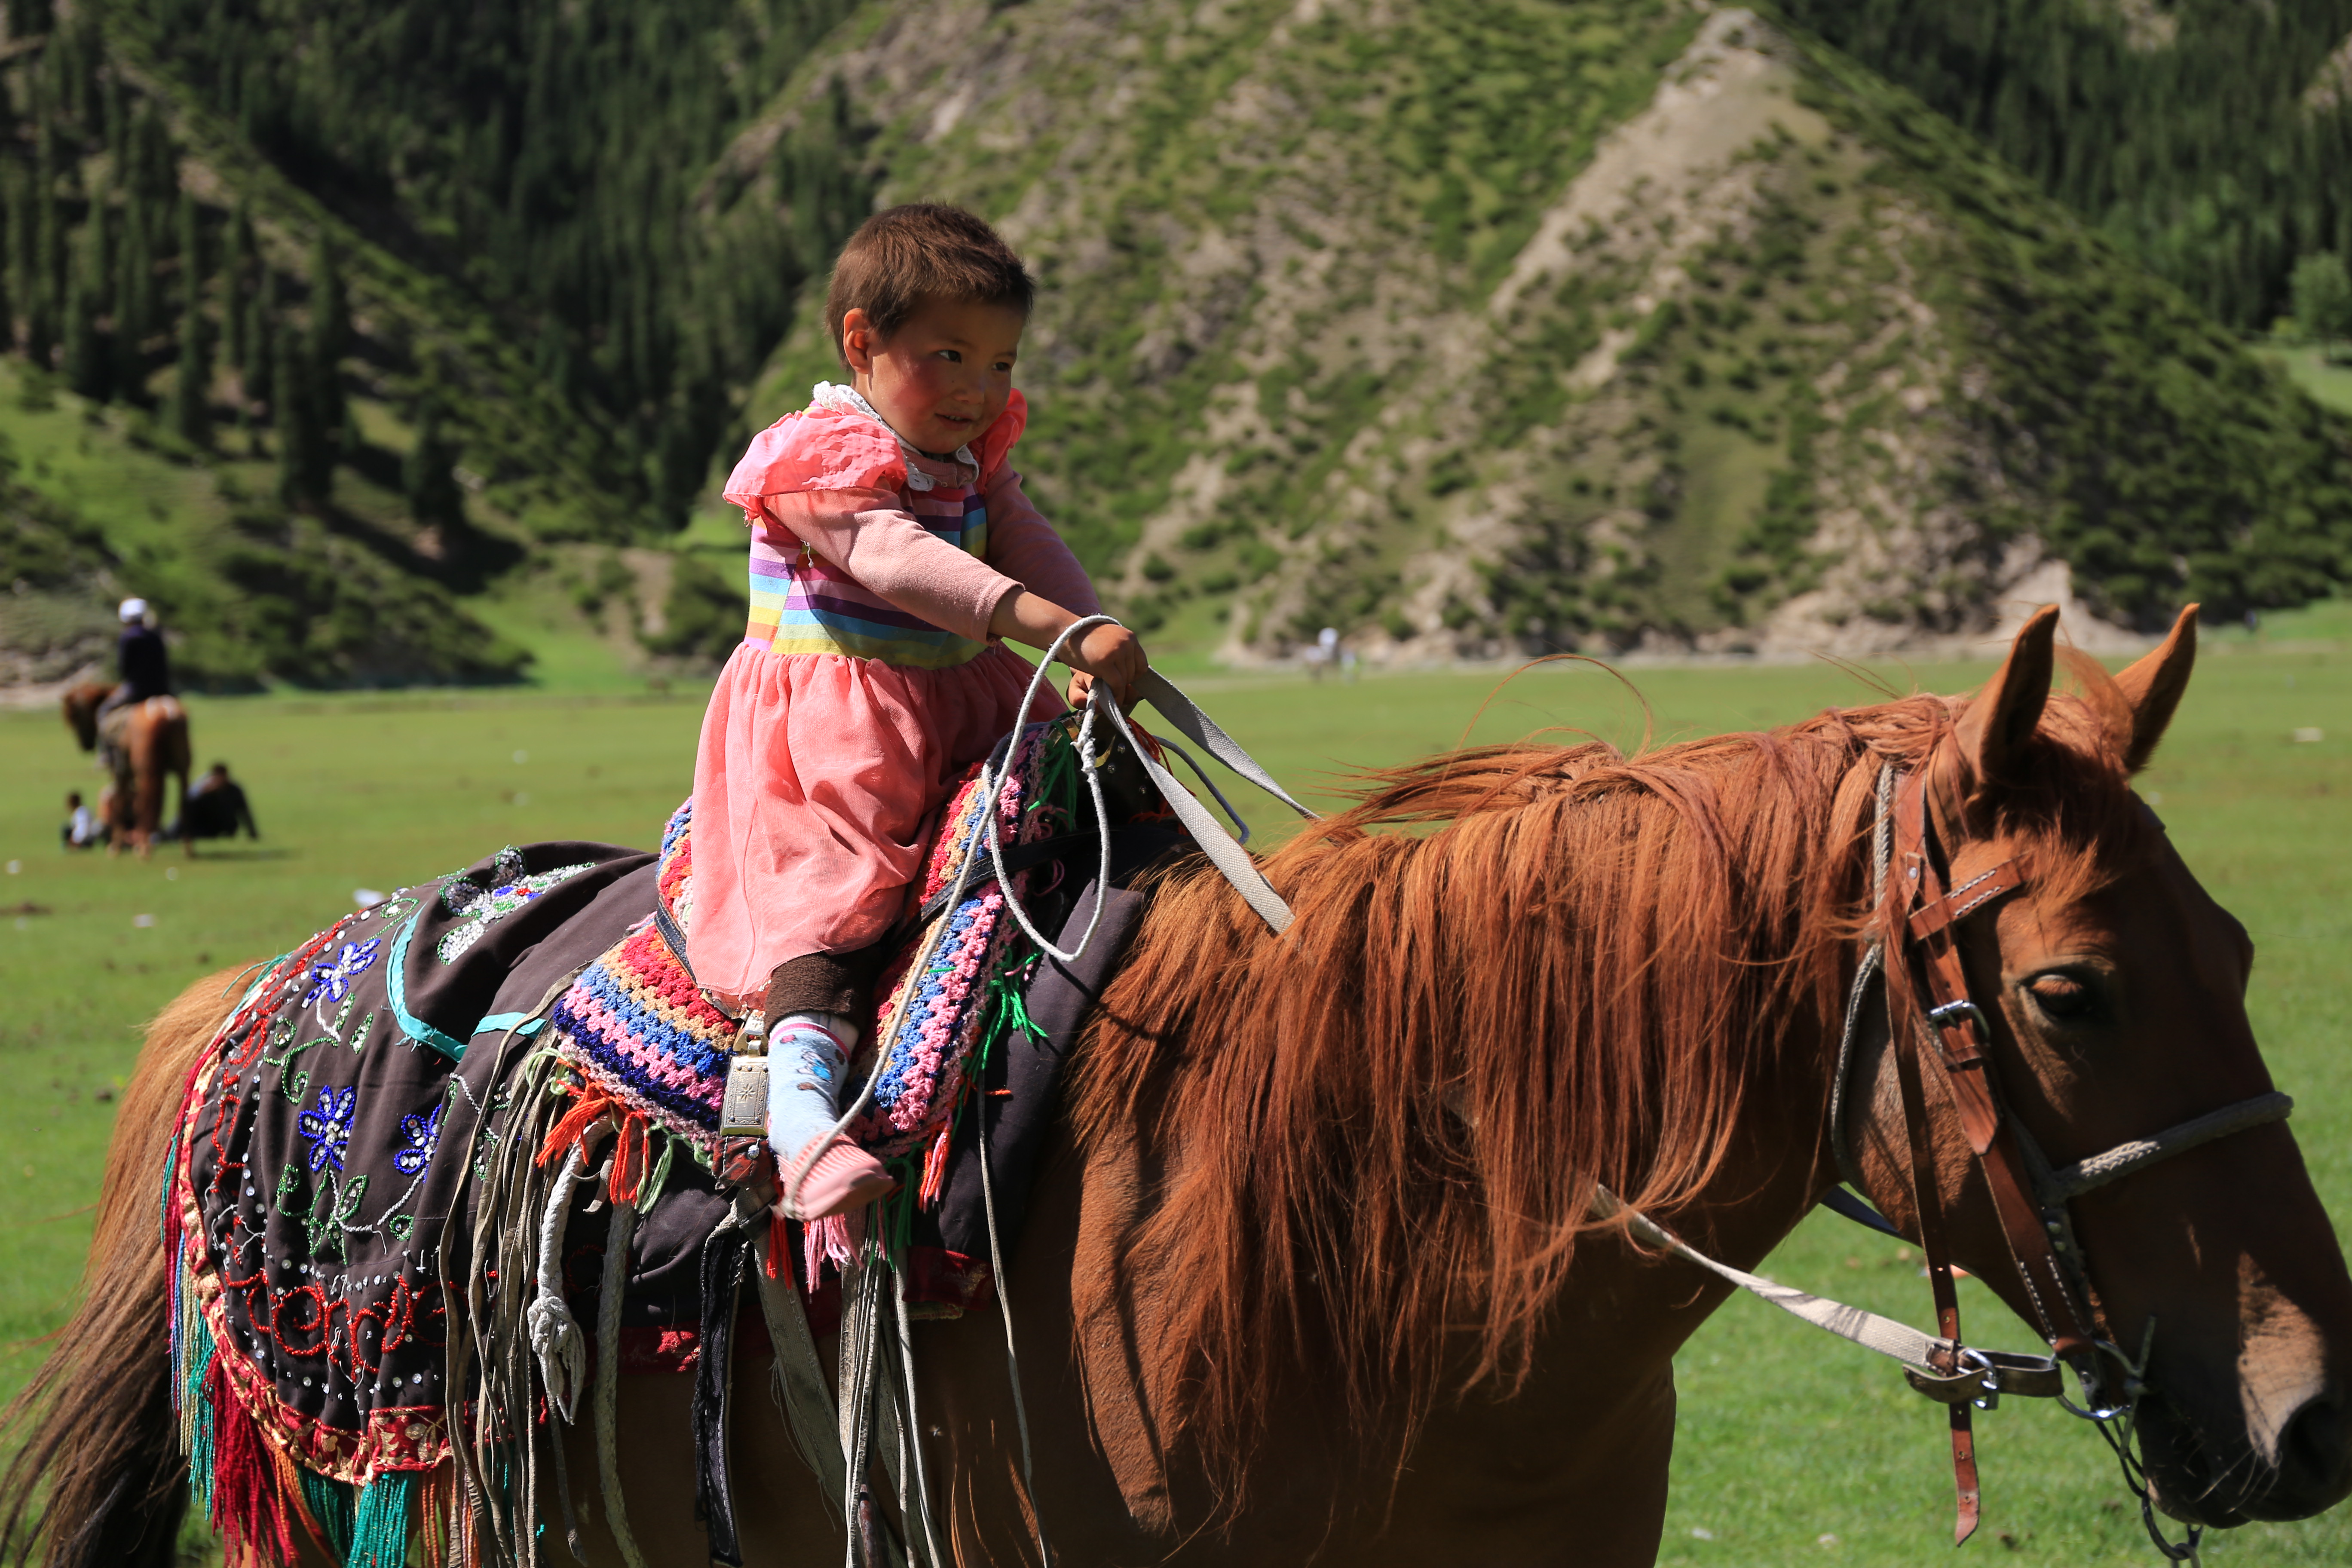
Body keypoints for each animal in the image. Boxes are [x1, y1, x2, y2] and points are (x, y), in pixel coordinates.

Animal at [60, 682, 191, 865]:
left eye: (75, 716)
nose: (85, 745)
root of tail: (164, 711)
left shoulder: (119, 772)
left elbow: (120, 802)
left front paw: (116, 846)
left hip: (147, 771)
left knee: (146, 801)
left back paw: (144, 847)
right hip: (181, 768)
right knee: (182, 799)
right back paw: (186, 848)